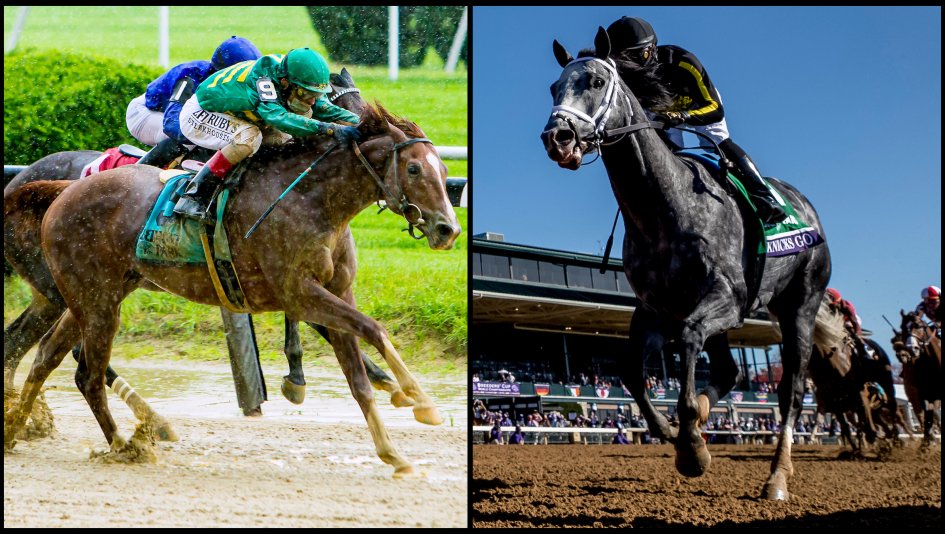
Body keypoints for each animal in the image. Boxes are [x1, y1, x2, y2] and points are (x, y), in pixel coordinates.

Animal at [4, 102, 461, 476]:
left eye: (444, 171)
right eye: (415, 169)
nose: (448, 229)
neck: (315, 201)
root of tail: (60, 191)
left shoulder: (337, 291)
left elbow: (358, 378)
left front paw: (394, 452)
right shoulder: (300, 292)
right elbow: (374, 329)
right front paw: (421, 402)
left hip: (93, 296)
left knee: (45, 356)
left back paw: (15, 429)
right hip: (94, 302)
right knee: (85, 372)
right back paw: (124, 445)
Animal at [540, 28, 831, 500]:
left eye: (596, 82)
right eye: (554, 87)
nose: (557, 137)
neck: (663, 210)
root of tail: (806, 206)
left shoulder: (726, 298)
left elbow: (689, 341)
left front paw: (692, 446)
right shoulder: (655, 309)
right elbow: (631, 372)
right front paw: (671, 430)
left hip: (800, 306)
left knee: (791, 389)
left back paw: (777, 476)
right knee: (729, 371)